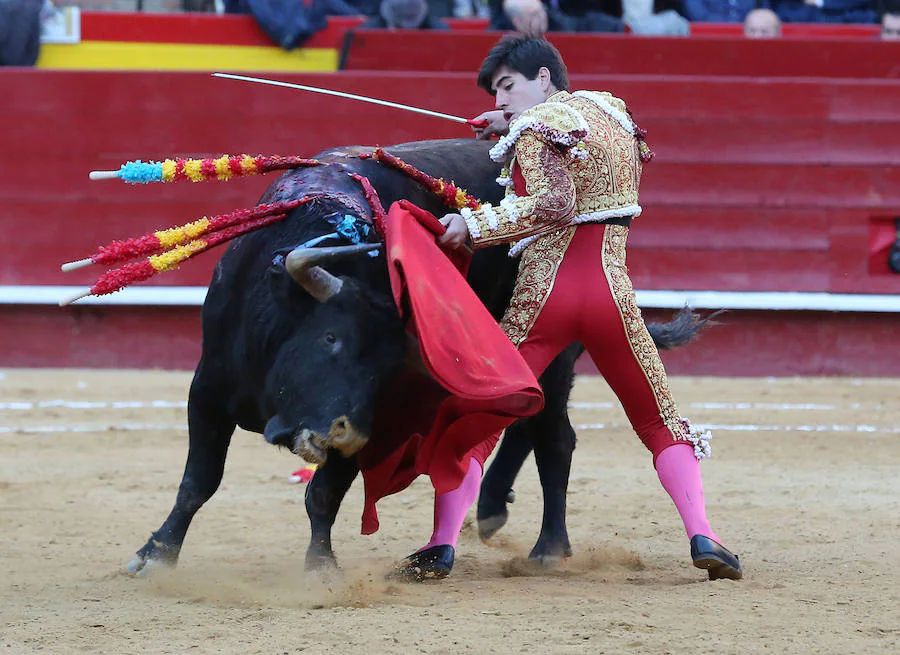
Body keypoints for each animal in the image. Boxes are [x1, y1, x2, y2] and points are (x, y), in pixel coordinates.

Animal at [126, 137, 712, 576]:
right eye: (330, 339)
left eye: (385, 370)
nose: (342, 433)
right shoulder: (207, 389)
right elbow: (199, 480)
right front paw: (155, 555)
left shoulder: (376, 417)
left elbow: (324, 493)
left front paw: (321, 566)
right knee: (524, 426)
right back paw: (493, 512)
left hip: (558, 348)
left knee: (555, 439)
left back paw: (548, 547)